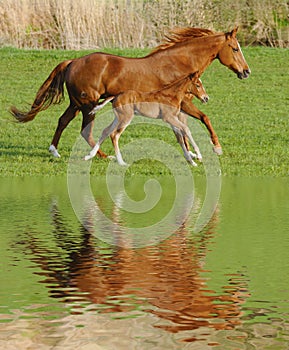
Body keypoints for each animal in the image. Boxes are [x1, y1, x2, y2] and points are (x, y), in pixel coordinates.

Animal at [10, 26, 249, 158]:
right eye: (235, 48)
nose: (246, 72)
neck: (178, 65)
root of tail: (73, 62)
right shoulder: (183, 103)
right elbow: (203, 118)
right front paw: (215, 149)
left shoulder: (178, 107)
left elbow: (184, 129)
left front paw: (191, 154)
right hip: (89, 105)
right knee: (87, 131)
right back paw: (104, 156)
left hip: (76, 103)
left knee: (63, 121)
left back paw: (55, 151)